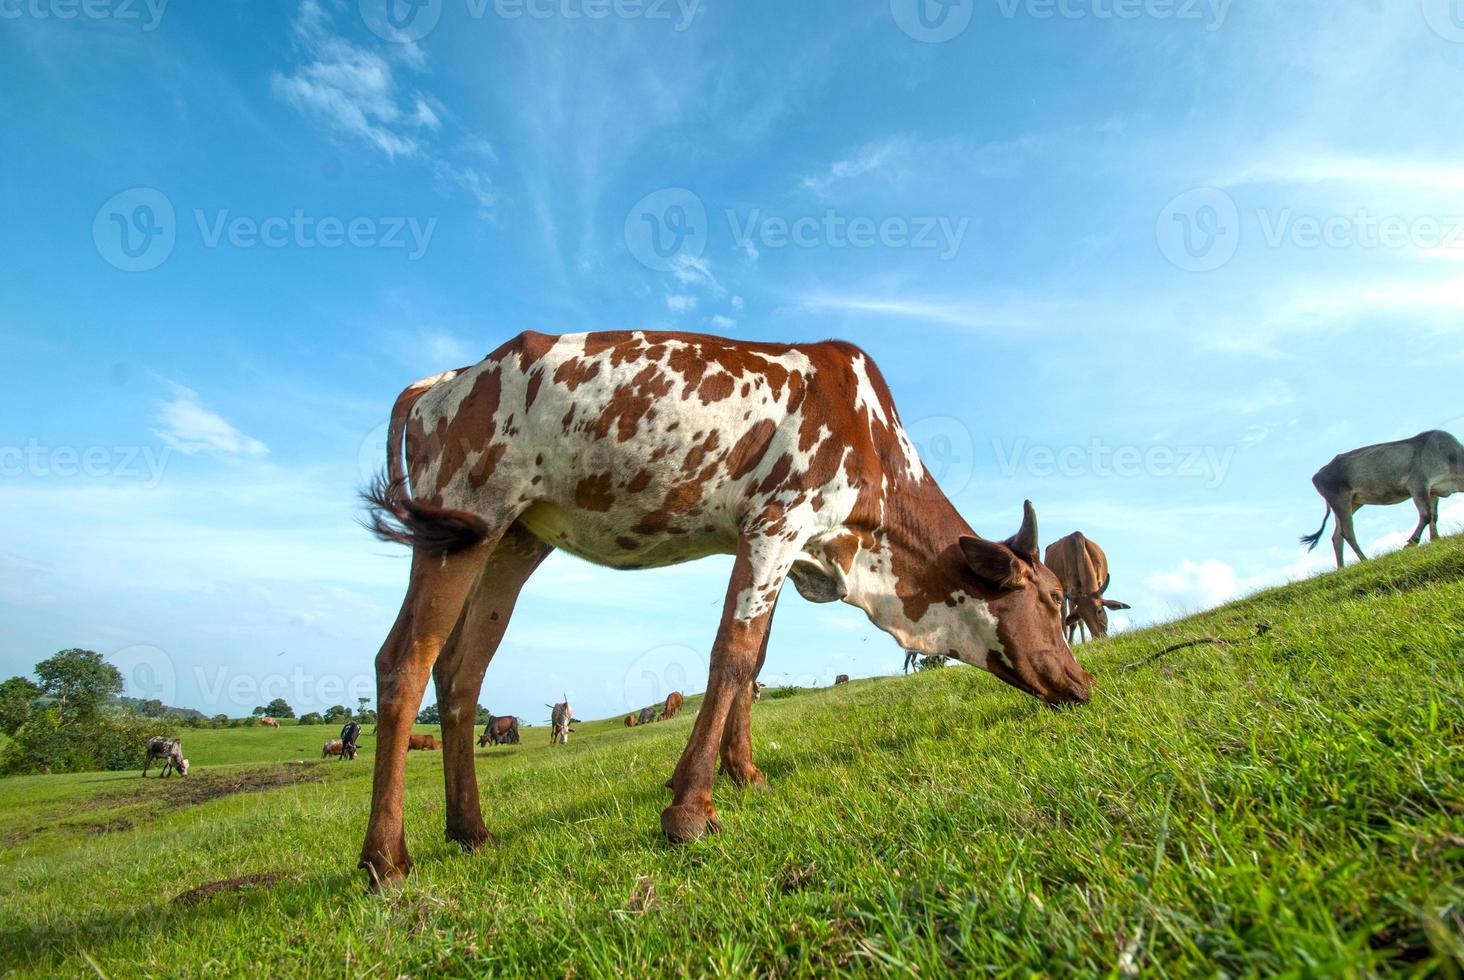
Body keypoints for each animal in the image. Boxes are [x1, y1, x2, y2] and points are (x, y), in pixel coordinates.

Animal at [354, 328, 1089, 884]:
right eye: (1053, 599)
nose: (1083, 682)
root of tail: (447, 379)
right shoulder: (777, 521)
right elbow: (731, 656)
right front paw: (691, 809)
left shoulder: (788, 543)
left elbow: (755, 660)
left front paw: (743, 773)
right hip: (466, 516)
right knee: (405, 660)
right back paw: (386, 859)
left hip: (511, 539)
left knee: (462, 670)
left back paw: (470, 830)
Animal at [1305, 427, 1464, 565]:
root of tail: (1318, 474)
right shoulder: (1418, 484)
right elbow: (1426, 515)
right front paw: (1411, 543)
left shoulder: (1434, 490)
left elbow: (1434, 517)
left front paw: (1435, 539)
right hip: (1339, 499)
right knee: (1347, 532)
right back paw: (1364, 560)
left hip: (1351, 502)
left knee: (1337, 536)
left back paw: (1341, 568)